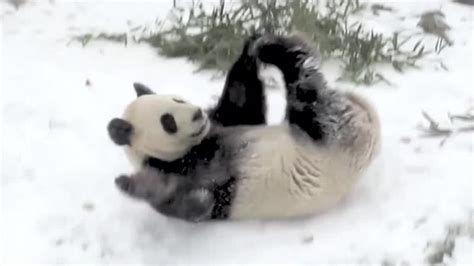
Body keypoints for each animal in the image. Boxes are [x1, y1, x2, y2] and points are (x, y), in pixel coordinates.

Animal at [107, 33, 382, 221]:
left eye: (178, 99)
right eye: (168, 122)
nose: (197, 115)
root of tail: (370, 121)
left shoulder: (227, 122)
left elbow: (242, 100)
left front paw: (249, 50)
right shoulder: (186, 172)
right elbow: (188, 202)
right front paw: (127, 183)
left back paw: (269, 47)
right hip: (328, 136)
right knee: (308, 92)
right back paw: (282, 51)